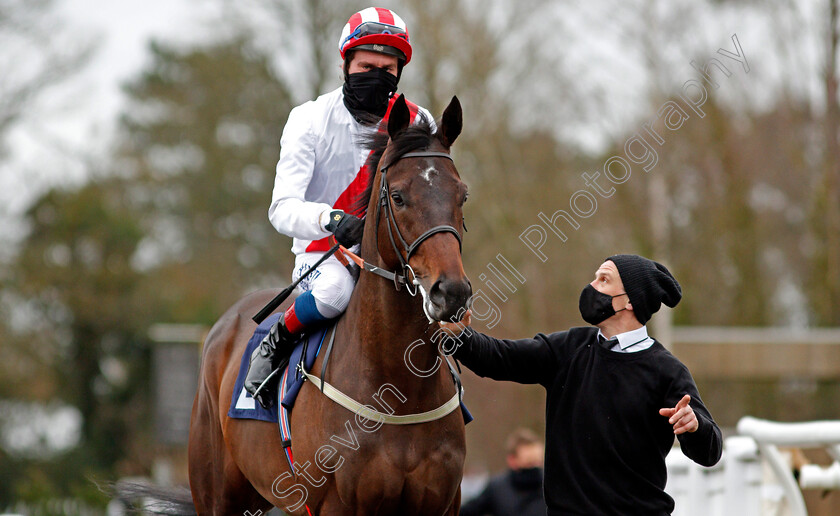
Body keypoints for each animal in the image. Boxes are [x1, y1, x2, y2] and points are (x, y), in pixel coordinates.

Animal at [187, 94, 472, 512]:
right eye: (399, 196)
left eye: (461, 194)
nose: (450, 292)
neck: (399, 391)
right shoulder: (336, 505)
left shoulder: (443, 503)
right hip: (217, 495)